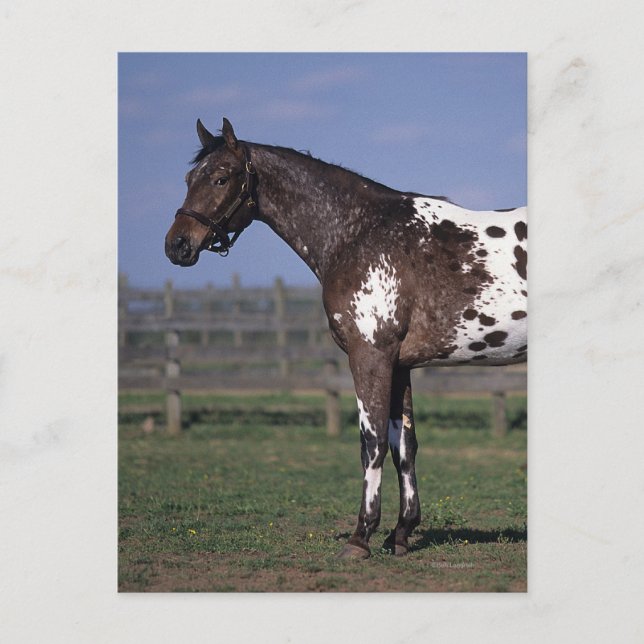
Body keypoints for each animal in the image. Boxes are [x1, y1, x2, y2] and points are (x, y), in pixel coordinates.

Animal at [165, 117, 527, 559]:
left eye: (220, 178)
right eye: (189, 178)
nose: (176, 244)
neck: (358, 233)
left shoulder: (369, 356)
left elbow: (371, 444)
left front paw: (361, 538)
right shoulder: (398, 365)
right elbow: (404, 445)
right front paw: (400, 533)